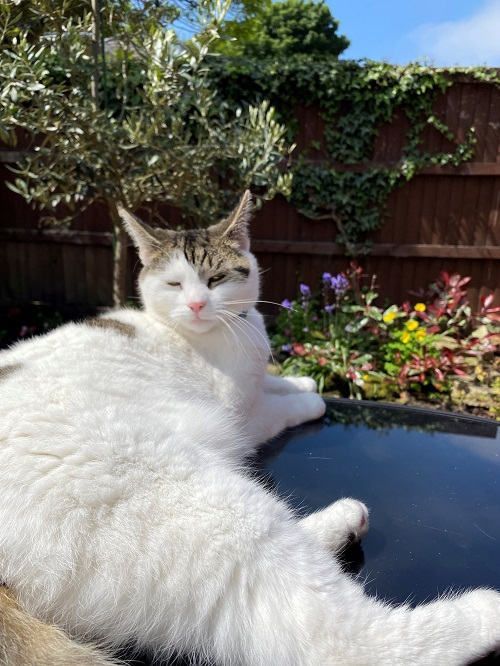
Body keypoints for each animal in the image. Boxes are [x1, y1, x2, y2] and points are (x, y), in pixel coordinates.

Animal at [0, 188, 498, 664]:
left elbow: (276, 381)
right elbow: (285, 405)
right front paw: (312, 396)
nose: (197, 304)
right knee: (333, 639)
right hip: (202, 500)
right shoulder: (244, 415)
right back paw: (481, 611)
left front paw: (301, 378)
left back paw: (343, 523)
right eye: (174, 283)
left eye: (216, 279)